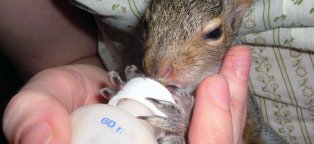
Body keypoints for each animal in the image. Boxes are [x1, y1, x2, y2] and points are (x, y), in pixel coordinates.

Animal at [102, 0, 288, 144]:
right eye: (145, 24)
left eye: (215, 33)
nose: (156, 69)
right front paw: (121, 85)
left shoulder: (253, 124)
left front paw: (184, 116)